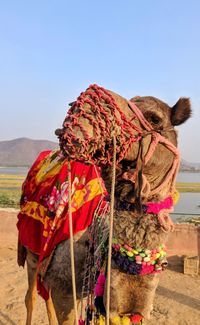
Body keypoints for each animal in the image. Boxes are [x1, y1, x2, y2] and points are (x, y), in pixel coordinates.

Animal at [18, 85, 191, 322]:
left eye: (154, 118)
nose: (87, 104)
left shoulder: (130, 308)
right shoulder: (66, 286)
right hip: (32, 248)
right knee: (31, 296)